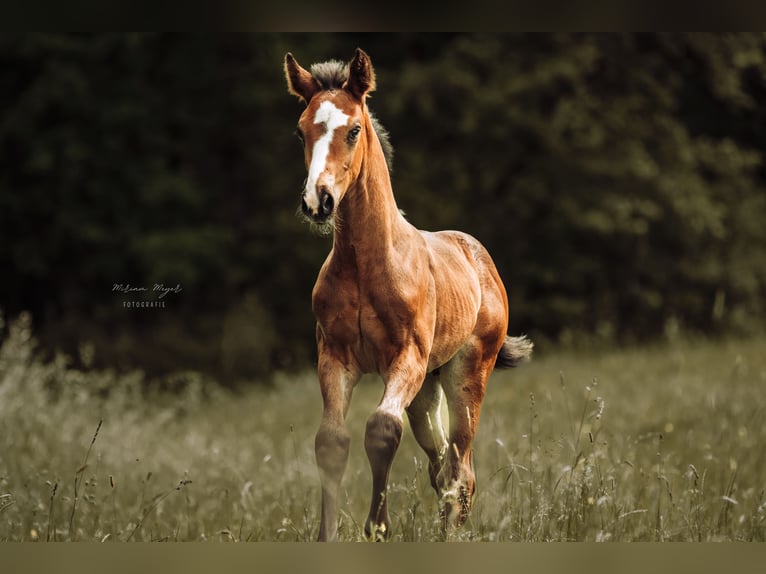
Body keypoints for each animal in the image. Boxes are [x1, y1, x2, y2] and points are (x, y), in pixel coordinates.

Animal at [284, 48, 532, 541]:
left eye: (353, 130)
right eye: (302, 131)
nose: (318, 201)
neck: (367, 263)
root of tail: (480, 259)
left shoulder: (407, 358)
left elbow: (381, 429)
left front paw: (378, 527)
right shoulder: (335, 356)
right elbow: (331, 442)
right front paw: (328, 536)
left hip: (465, 374)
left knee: (461, 468)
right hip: (427, 389)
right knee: (441, 467)